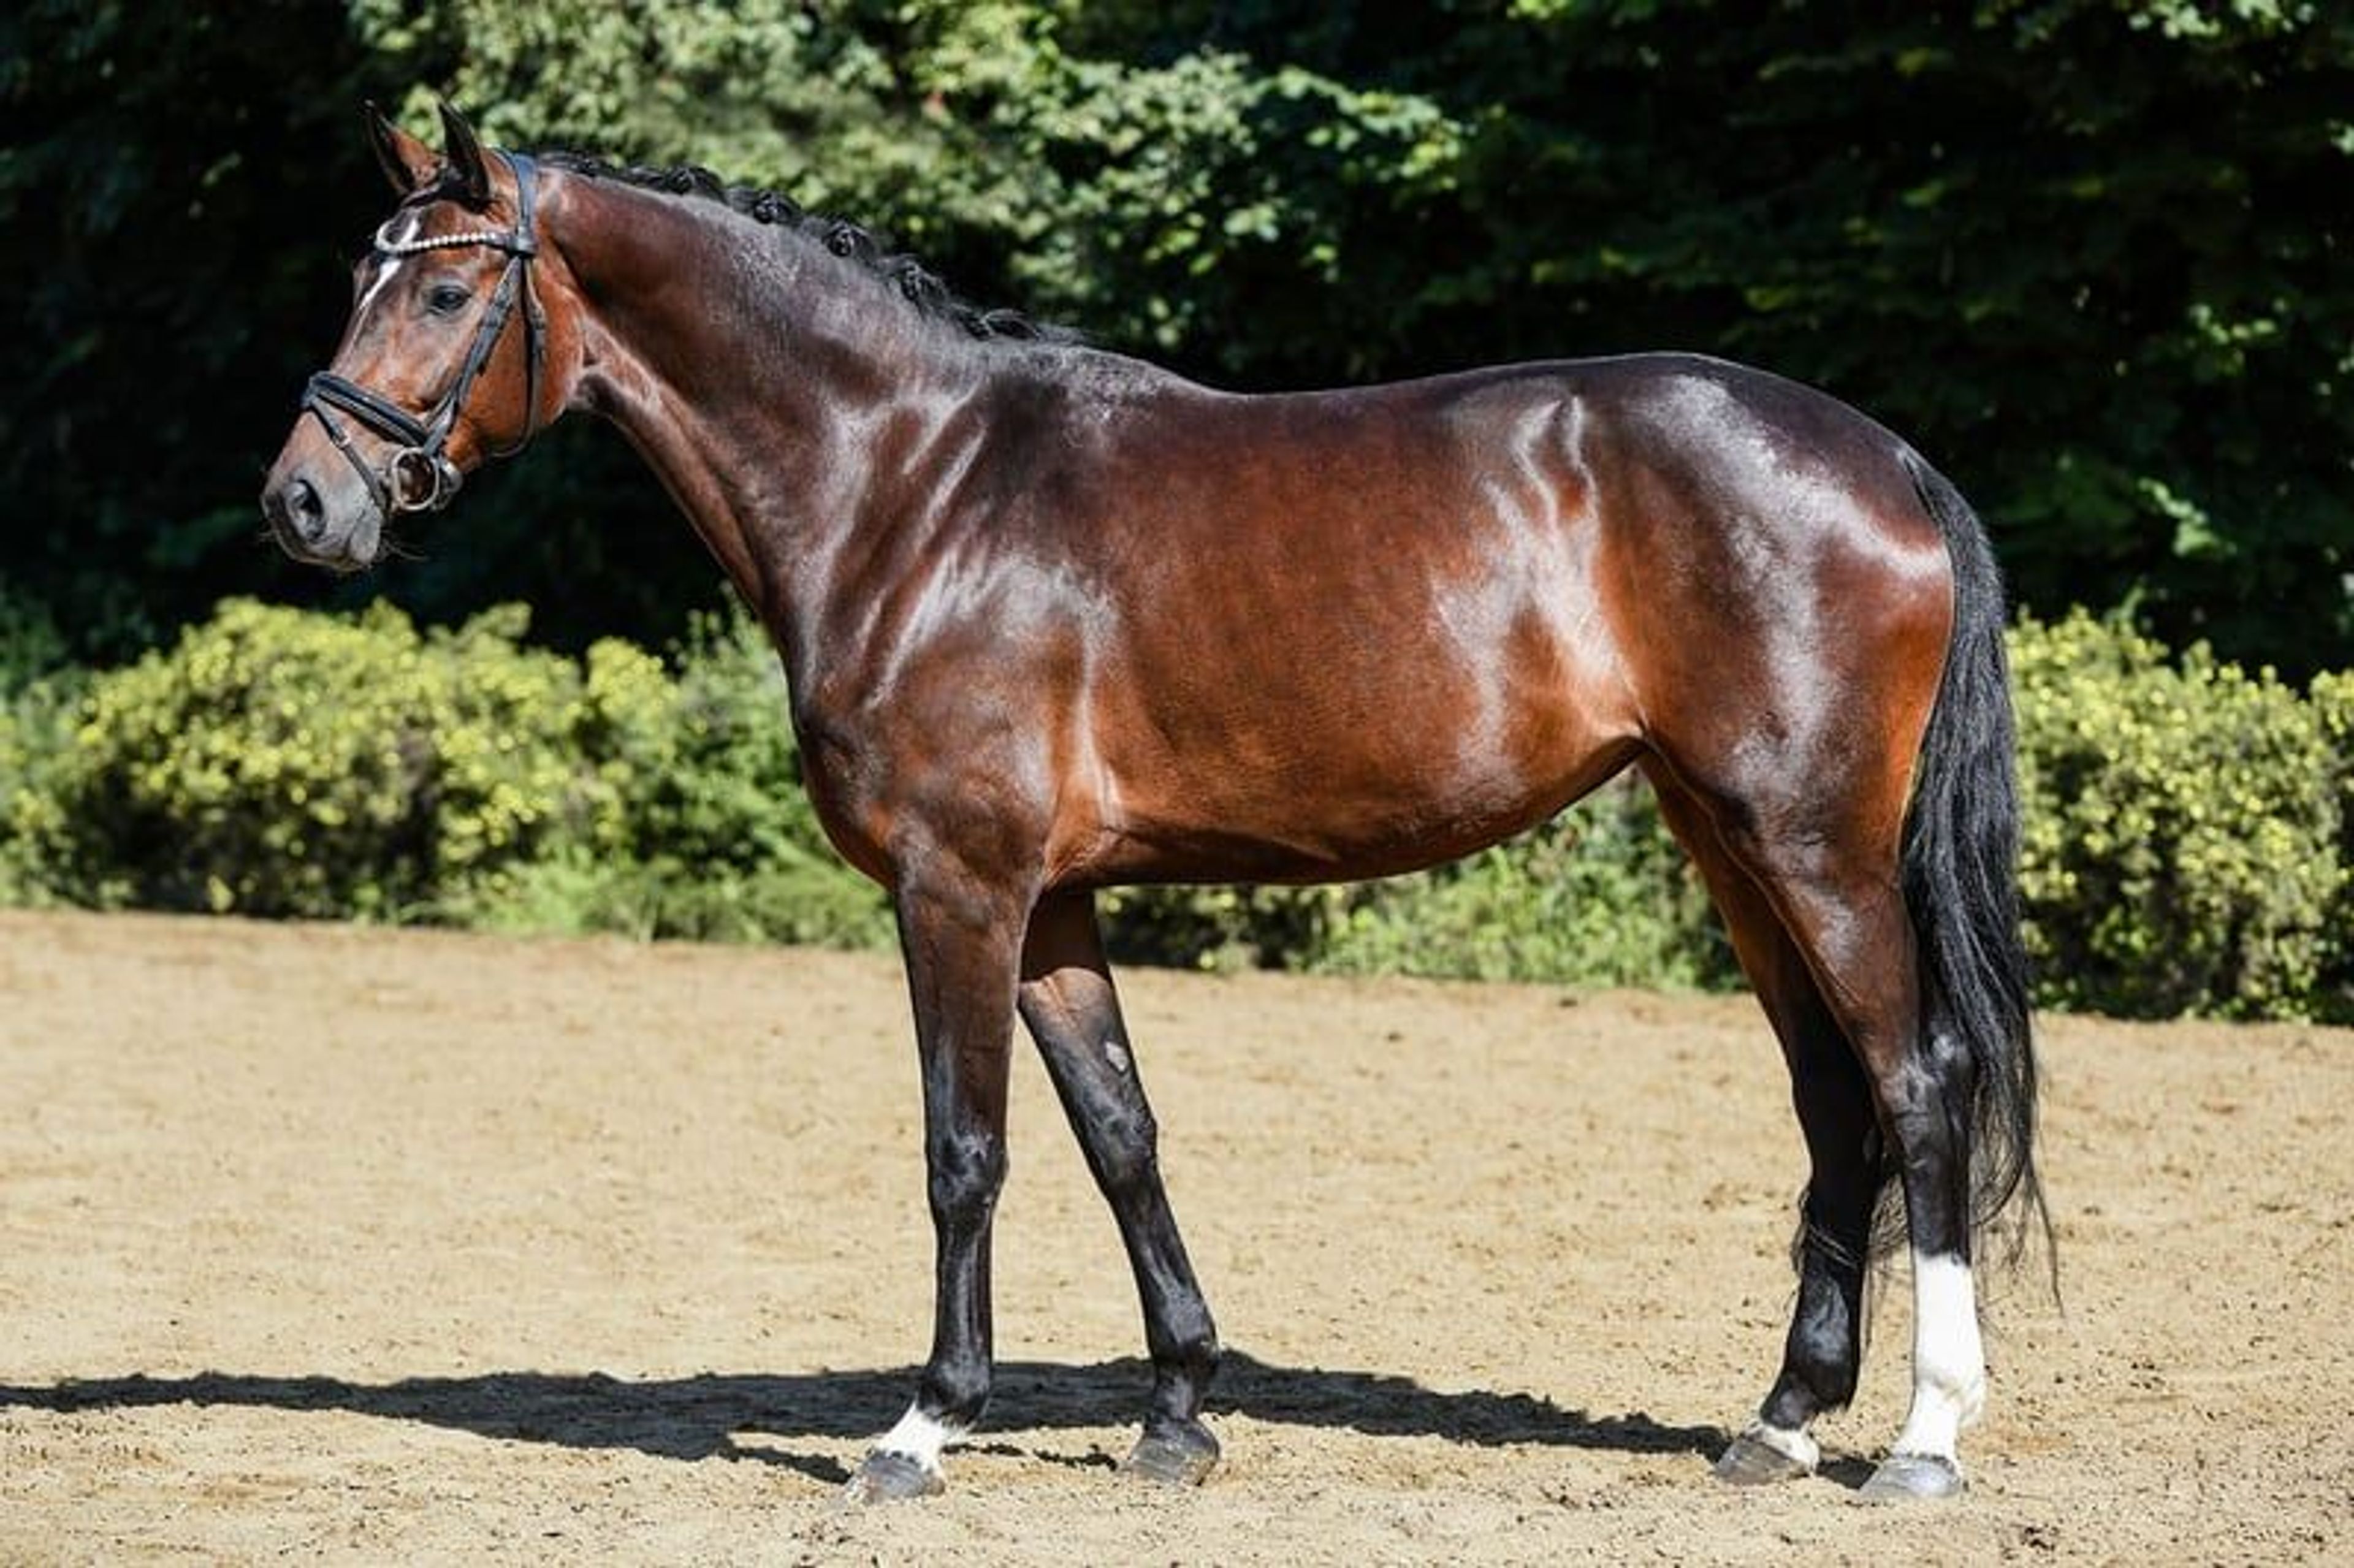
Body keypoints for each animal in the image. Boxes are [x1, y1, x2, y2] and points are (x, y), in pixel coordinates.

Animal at [262, 103, 2044, 1505]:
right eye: (358, 277)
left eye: (444, 284)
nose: (304, 501)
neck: (915, 486)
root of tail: (1886, 460)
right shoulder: (1050, 899)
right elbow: (1119, 1132)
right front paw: (1180, 1408)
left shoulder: (958, 885)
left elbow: (964, 1147)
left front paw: (923, 1423)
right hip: (1732, 845)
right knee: (1831, 1103)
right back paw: (1780, 1420)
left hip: (1812, 849)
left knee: (1918, 1079)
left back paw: (1920, 1439)